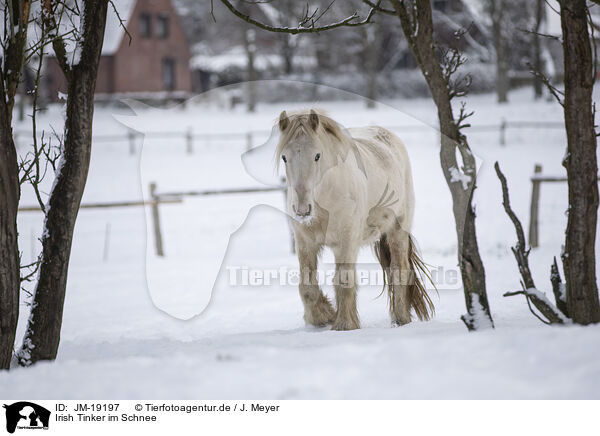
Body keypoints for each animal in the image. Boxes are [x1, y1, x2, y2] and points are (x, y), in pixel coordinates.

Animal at [276, 109, 432, 330]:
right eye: (284, 157)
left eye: (317, 155)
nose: (303, 210)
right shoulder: (305, 243)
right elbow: (307, 285)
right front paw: (323, 316)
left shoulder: (347, 241)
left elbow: (344, 281)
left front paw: (344, 324)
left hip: (397, 231)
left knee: (400, 270)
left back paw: (401, 319)